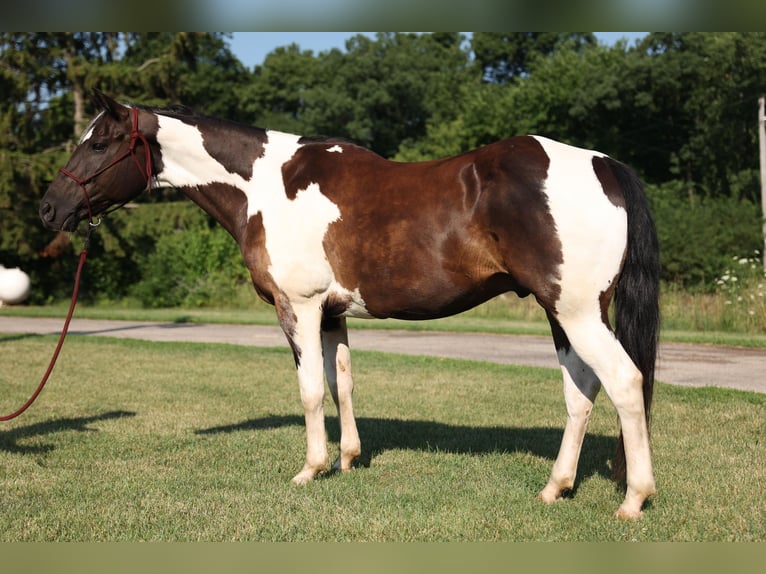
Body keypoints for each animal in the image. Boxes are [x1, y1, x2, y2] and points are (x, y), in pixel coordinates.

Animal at [39, 88, 660, 520]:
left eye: (99, 143)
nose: (49, 208)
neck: (265, 185)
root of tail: (602, 163)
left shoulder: (299, 308)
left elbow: (312, 389)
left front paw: (311, 469)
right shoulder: (333, 314)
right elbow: (342, 383)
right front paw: (347, 459)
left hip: (577, 313)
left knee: (625, 383)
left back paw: (633, 500)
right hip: (565, 314)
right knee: (581, 392)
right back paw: (555, 488)